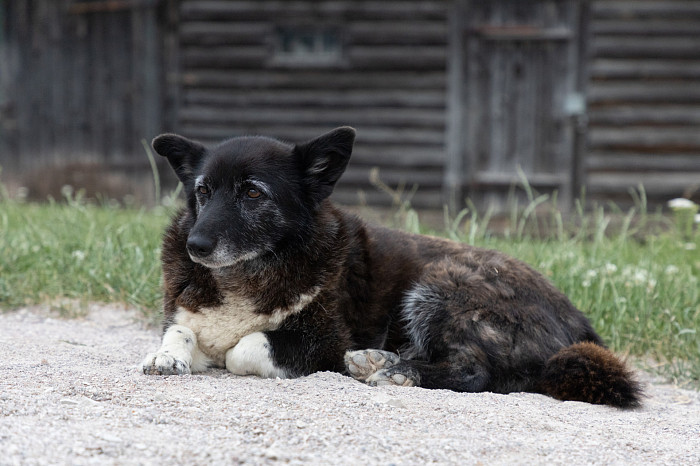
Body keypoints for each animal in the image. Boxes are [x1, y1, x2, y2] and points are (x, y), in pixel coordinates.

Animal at [141, 126, 640, 408]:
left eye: (252, 192)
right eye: (203, 191)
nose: (196, 245)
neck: (249, 272)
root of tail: (579, 322)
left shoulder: (323, 341)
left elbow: (243, 348)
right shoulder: (190, 316)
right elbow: (181, 331)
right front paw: (167, 355)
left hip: (444, 286)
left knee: (475, 371)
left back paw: (399, 371)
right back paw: (380, 359)